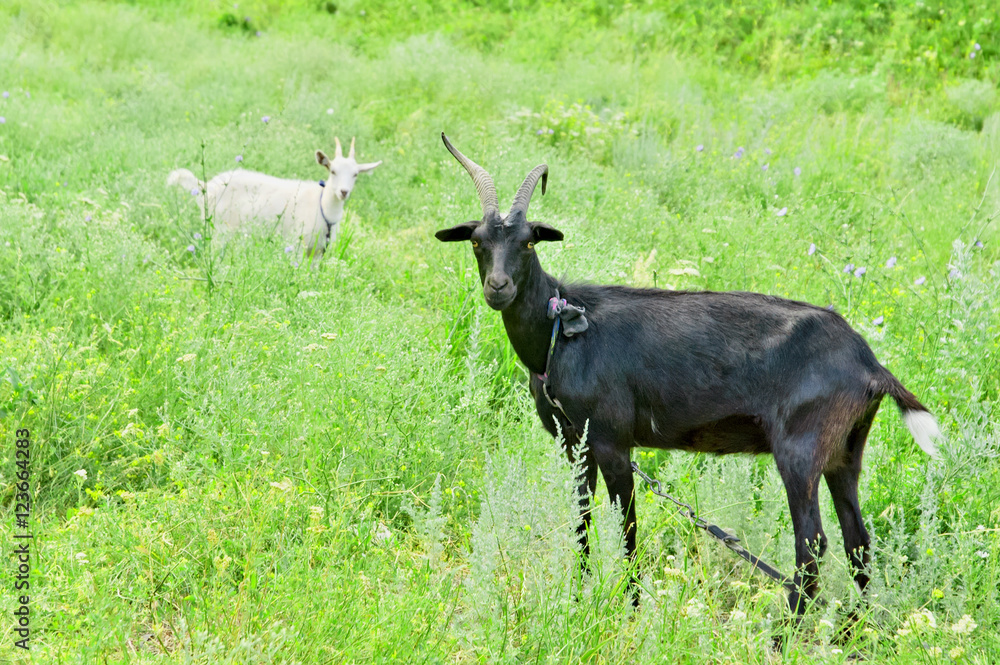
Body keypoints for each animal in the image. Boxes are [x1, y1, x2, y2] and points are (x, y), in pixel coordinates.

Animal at [167, 137, 381, 259]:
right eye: (333, 171)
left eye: (355, 174)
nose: (343, 192)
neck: (322, 206)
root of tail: (204, 187)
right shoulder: (296, 242)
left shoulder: (318, 250)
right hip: (219, 228)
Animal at [434, 133, 941, 614]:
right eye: (478, 241)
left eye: (528, 242)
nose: (498, 287)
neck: (562, 331)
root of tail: (868, 362)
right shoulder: (573, 441)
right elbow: (581, 523)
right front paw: (575, 599)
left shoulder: (612, 440)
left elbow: (627, 528)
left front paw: (629, 611)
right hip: (845, 451)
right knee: (858, 542)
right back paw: (853, 630)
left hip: (801, 447)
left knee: (813, 543)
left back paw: (783, 633)